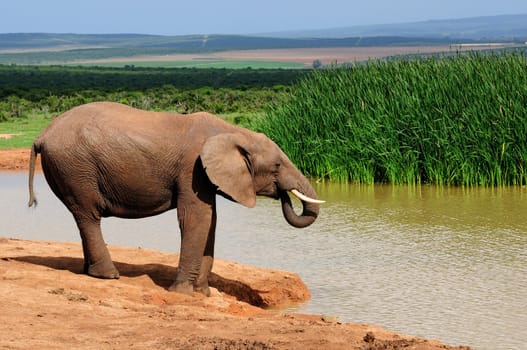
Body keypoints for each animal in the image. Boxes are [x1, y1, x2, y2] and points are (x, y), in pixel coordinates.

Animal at [29, 100, 326, 296]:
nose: (283, 194)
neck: (234, 132)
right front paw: (183, 294)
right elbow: (196, 219)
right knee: (89, 215)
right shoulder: (192, 169)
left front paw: (203, 294)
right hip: (75, 168)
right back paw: (109, 276)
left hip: (68, 169)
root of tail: (41, 135)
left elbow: (210, 221)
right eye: (277, 166)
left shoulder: (204, 176)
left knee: (82, 216)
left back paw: (90, 273)